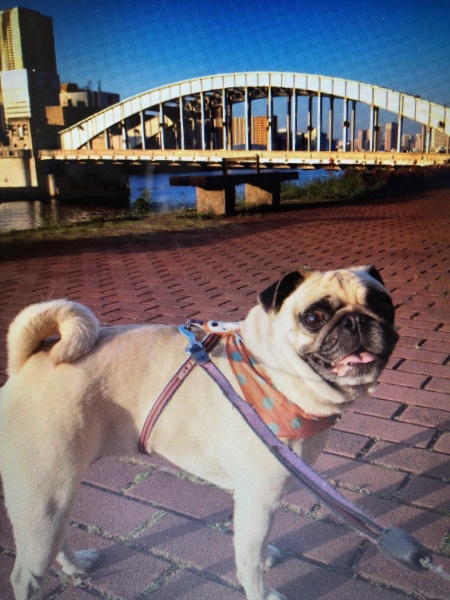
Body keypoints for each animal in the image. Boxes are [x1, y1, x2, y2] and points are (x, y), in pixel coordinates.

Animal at [0, 265, 398, 600]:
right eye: (314, 317)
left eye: (384, 305)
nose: (356, 321)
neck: (271, 371)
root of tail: (30, 359)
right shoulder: (258, 499)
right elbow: (248, 562)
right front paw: (262, 592)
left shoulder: (258, 501)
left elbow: (255, 547)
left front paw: (266, 554)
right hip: (44, 495)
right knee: (25, 573)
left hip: (56, 495)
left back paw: (75, 564)